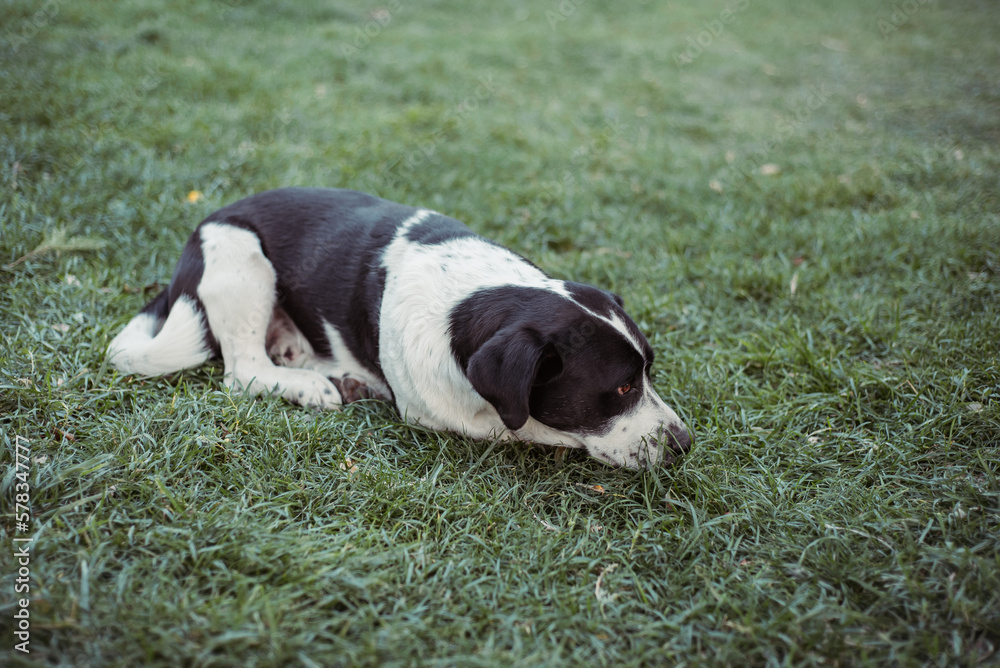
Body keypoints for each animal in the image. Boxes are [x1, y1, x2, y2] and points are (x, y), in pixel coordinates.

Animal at [105, 187, 692, 470]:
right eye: (621, 388)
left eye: (649, 373)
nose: (686, 444)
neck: (469, 296)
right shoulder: (447, 414)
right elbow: (540, 428)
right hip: (241, 254)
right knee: (242, 369)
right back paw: (311, 385)